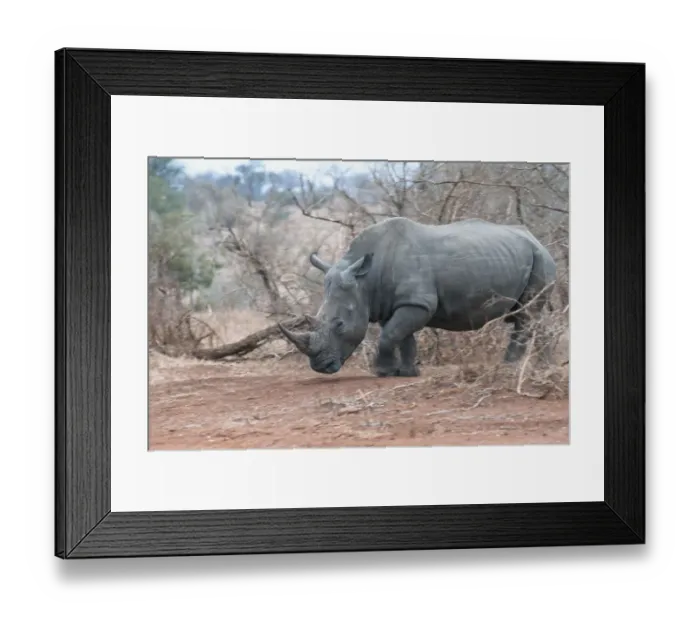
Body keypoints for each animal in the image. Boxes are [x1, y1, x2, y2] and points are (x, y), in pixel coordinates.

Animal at [279, 216, 557, 377]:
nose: (320, 368)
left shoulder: (419, 302)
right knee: (528, 316)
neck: (365, 280)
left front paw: (383, 373)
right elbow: (402, 337)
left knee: (526, 315)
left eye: (339, 324)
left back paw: (509, 367)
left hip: (540, 259)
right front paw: (407, 372)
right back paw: (537, 365)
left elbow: (390, 335)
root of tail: (537, 239)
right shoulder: (396, 302)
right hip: (524, 256)